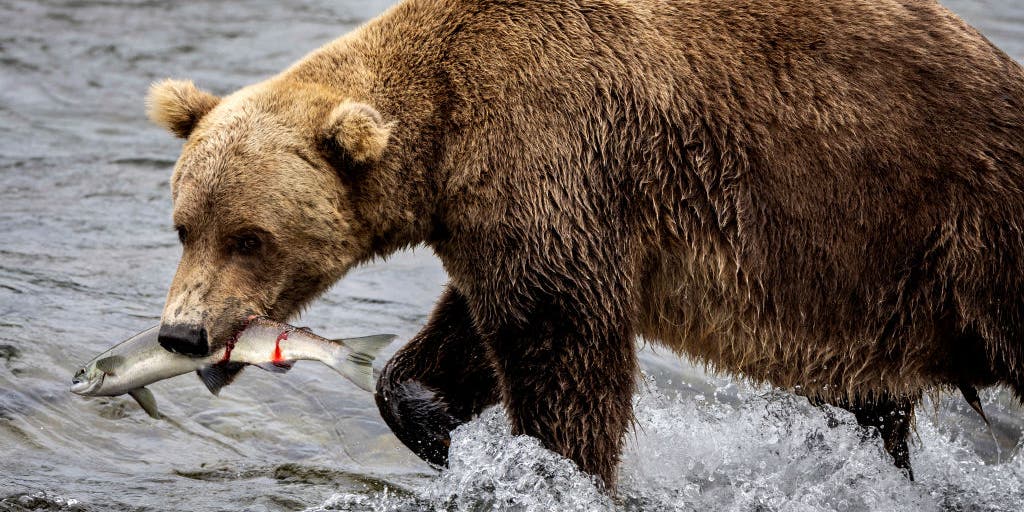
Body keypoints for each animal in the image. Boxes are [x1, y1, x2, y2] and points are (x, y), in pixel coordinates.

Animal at [146, 0, 1024, 487]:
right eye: (185, 225)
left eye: (250, 237)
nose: (181, 332)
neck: (445, 135)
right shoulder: (506, 214)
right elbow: (471, 335)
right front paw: (433, 424)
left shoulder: (561, 149)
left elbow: (565, 350)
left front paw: (556, 467)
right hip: (874, 289)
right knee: (869, 404)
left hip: (958, 225)